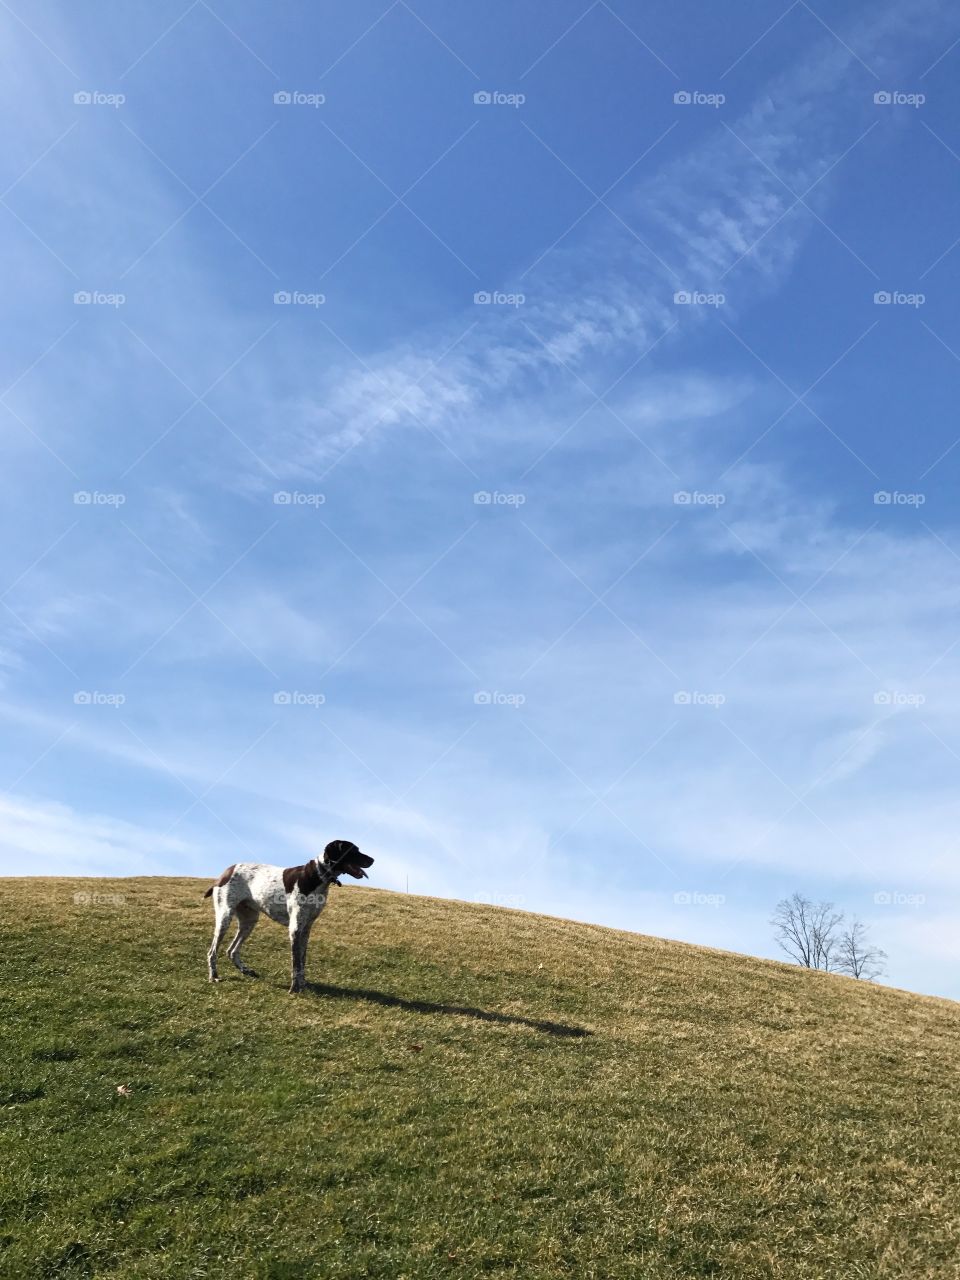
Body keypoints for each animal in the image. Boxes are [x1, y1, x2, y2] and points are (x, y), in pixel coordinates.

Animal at [203, 834, 376, 993]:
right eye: (353, 851)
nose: (373, 860)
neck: (317, 875)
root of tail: (226, 872)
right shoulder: (295, 929)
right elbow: (295, 963)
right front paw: (294, 989)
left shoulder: (306, 929)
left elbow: (302, 961)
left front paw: (303, 984)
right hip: (225, 917)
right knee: (212, 952)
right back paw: (214, 976)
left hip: (249, 921)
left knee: (231, 951)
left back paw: (245, 970)